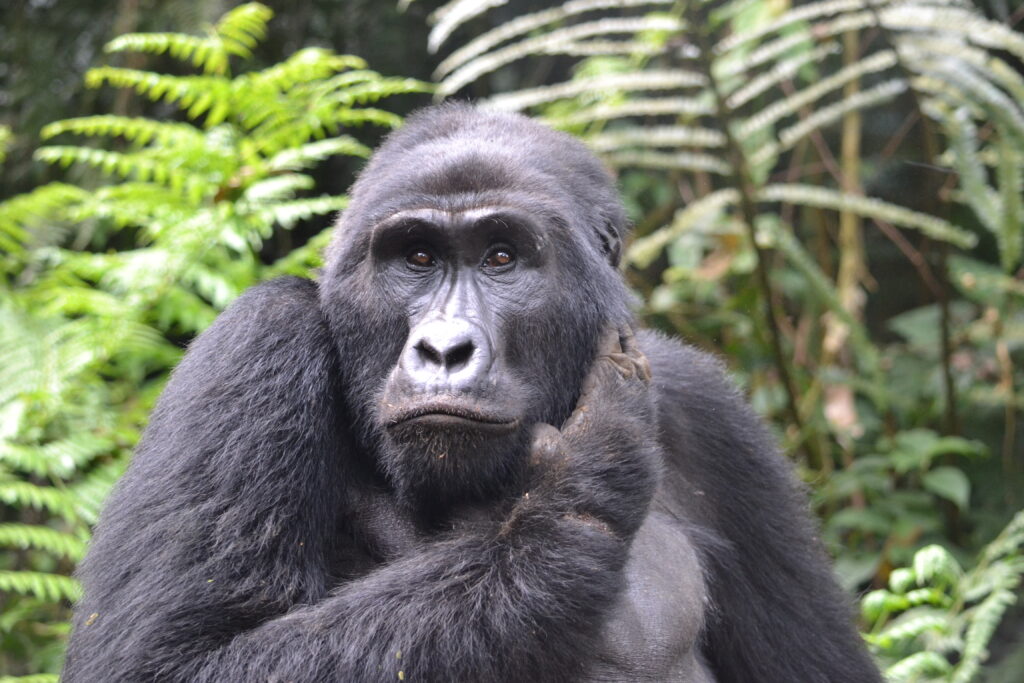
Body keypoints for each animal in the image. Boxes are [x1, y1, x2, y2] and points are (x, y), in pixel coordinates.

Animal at [64, 102, 880, 683]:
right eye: (418, 258)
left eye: (501, 257)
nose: (444, 350)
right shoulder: (253, 344)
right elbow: (174, 659)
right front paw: (573, 493)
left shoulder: (714, 418)